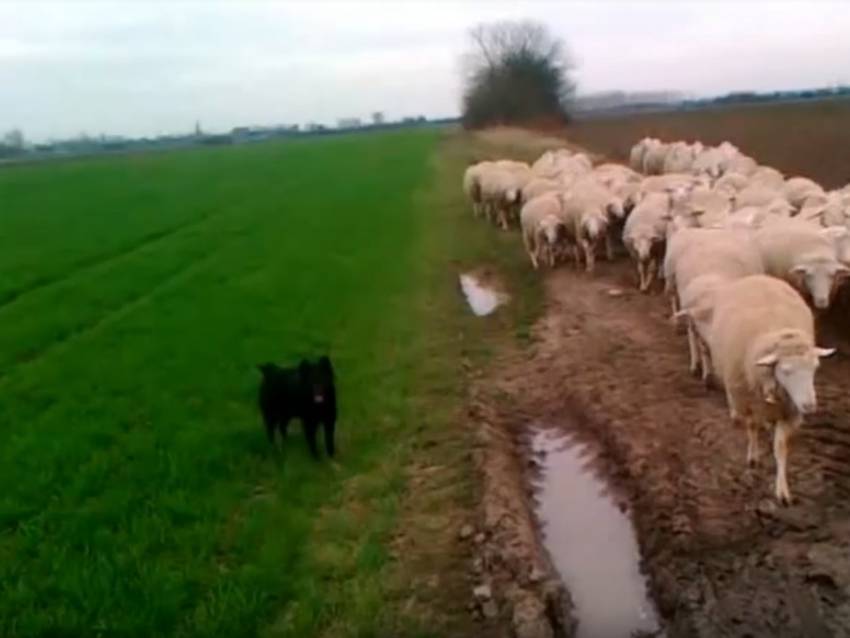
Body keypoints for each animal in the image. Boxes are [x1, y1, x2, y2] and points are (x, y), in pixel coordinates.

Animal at [704, 276, 832, 504]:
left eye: (815, 368)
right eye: (786, 371)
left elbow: (780, 448)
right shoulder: (748, 401)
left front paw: (782, 490)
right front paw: (753, 457)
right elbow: (751, 427)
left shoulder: (789, 411)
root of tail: (759, 276)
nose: (809, 406)